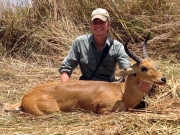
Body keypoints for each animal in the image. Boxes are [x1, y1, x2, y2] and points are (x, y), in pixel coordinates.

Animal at [4, 33, 167, 115]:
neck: (121, 94)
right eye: (143, 68)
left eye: (155, 65)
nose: (163, 79)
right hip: (52, 112)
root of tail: (26, 96)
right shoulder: (104, 110)